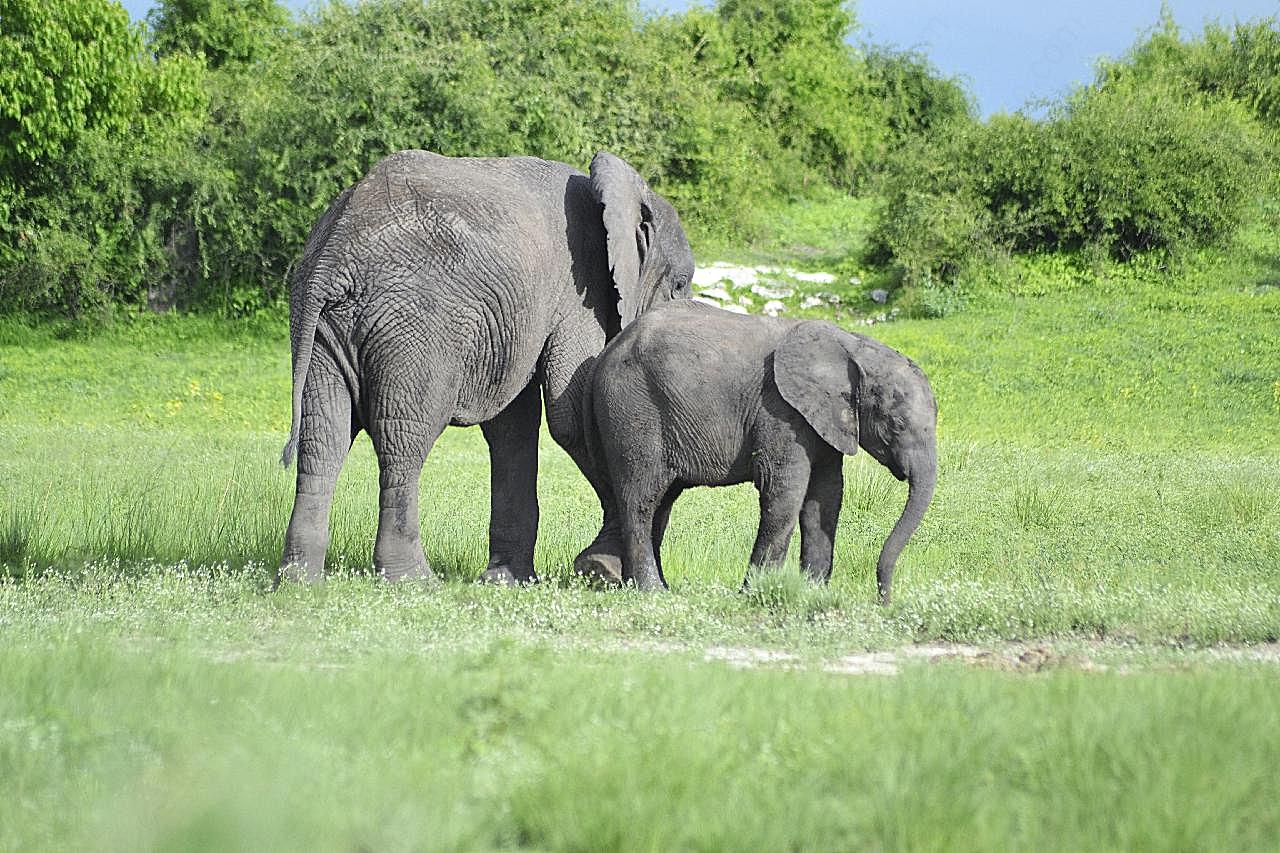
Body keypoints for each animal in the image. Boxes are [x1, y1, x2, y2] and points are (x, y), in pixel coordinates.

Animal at [280, 149, 696, 581]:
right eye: (680, 284)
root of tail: (333, 255)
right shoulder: (581, 288)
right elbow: (573, 414)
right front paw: (603, 568)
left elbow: (512, 425)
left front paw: (508, 580)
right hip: (413, 326)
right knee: (403, 436)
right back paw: (415, 580)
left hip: (323, 333)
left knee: (322, 438)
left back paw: (300, 581)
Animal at [578, 302, 931, 601]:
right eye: (897, 424)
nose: (884, 600)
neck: (854, 345)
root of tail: (607, 351)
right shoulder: (781, 411)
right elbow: (784, 489)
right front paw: (755, 594)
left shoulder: (823, 421)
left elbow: (826, 496)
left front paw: (812, 594)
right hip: (632, 411)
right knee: (642, 498)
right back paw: (652, 592)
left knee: (662, 501)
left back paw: (659, 587)